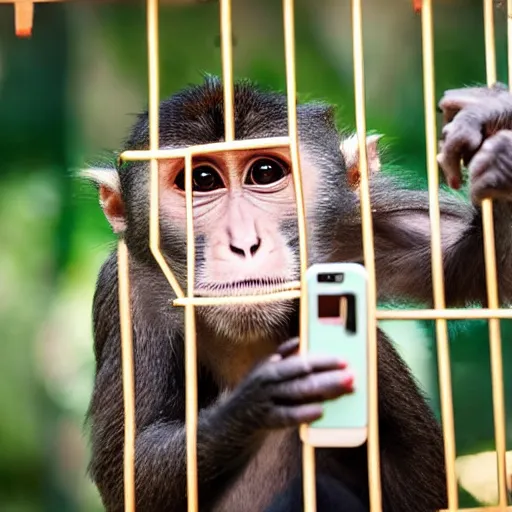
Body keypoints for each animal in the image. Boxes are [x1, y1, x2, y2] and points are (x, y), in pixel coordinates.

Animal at [82, 77, 512, 512]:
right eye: (201, 180)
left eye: (265, 172)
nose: (245, 243)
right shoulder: (127, 287)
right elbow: (131, 469)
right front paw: (260, 400)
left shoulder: (368, 223)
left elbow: (470, 273)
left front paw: (495, 140)